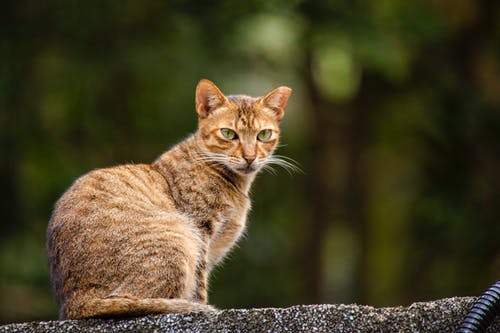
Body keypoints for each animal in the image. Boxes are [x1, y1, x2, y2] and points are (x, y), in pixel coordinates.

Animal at [47, 78, 292, 320]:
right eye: (229, 133)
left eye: (264, 135)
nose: (250, 157)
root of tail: (75, 304)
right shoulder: (200, 233)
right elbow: (199, 287)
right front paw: (200, 305)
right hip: (178, 242)